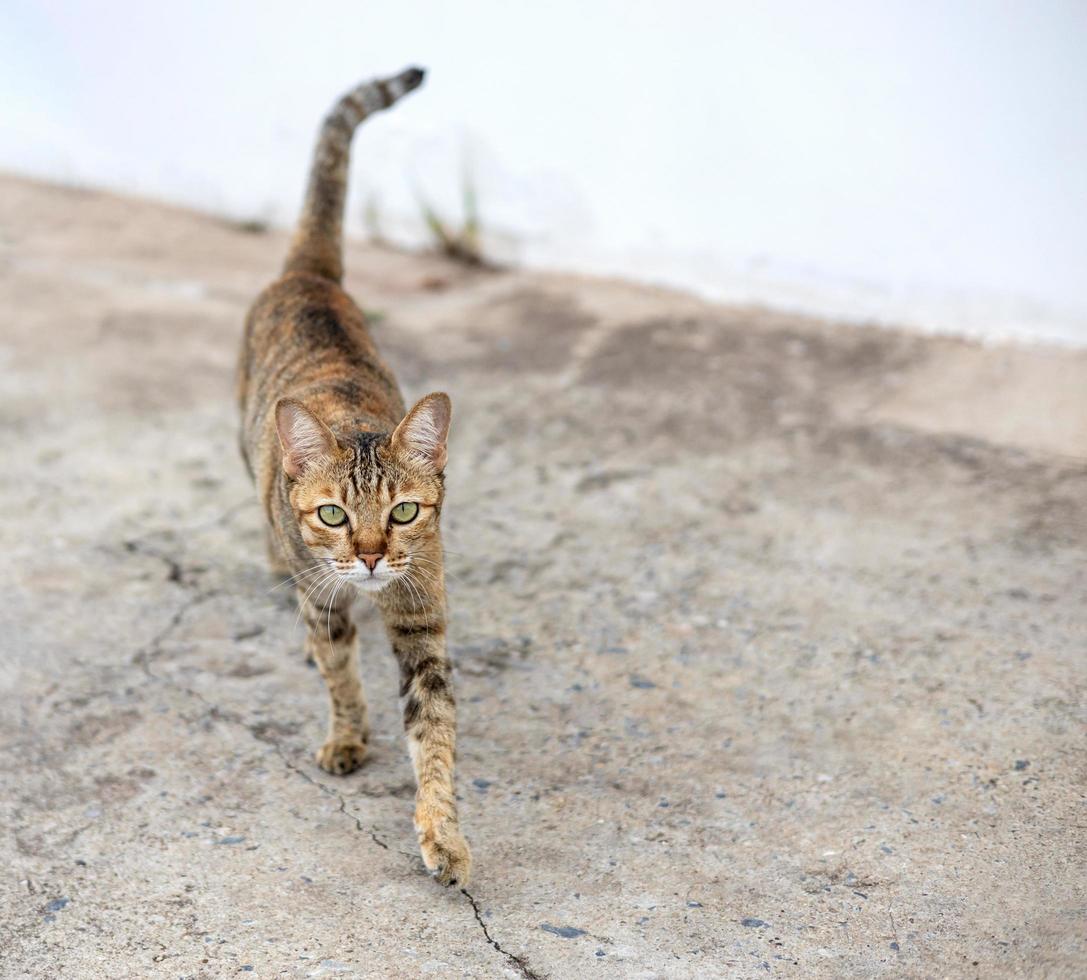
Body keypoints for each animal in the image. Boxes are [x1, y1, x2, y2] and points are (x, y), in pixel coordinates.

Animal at [235, 65, 469, 886]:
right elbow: (339, 674)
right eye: (333, 514)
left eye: (403, 513)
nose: (368, 556)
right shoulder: (326, 598)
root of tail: (308, 276)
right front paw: (346, 734)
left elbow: (434, 734)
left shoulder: (421, 618)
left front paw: (441, 834)